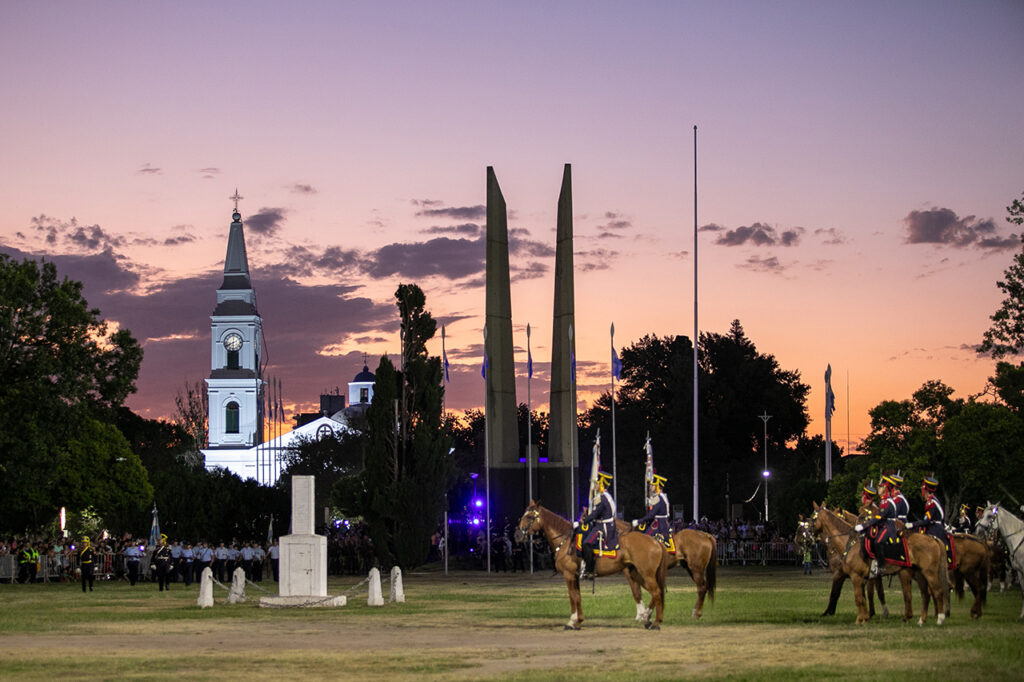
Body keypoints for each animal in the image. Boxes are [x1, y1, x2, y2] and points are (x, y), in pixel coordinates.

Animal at [516, 499, 667, 626]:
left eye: (529, 517)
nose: (517, 535)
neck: (565, 541)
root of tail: (656, 541)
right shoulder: (575, 576)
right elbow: (578, 597)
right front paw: (578, 620)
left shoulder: (568, 575)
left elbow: (572, 597)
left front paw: (571, 621)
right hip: (635, 573)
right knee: (654, 592)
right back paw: (648, 617)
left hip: (646, 574)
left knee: (656, 592)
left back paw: (655, 622)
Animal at [806, 501, 950, 622]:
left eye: (812, 518)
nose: (806, 538)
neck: (849, 542)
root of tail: (933, 538)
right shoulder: (865, 577)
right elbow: (866, 596)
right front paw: (866, 616)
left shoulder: (854, 576)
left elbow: (857, 597)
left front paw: (861, 619)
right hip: (918, 574)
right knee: (925, 593)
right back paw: (922, 618)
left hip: (927, 572)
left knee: (936, 591)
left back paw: (939, 617)